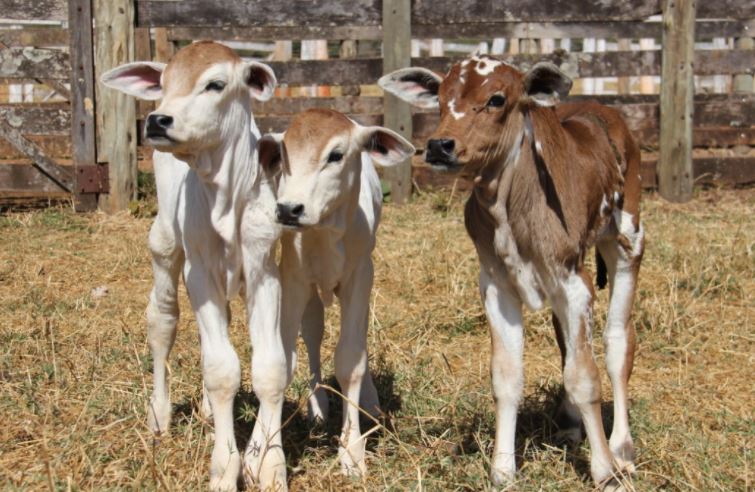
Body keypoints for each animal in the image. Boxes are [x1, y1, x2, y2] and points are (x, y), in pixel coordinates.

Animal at [102, 41, 288, 488]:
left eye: (215, 84)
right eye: (164, 83)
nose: (157, 119)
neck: (226, 195)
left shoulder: (264, 272)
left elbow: (269, 368)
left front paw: (271, 465)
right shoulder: (199, 272)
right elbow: (221, 371)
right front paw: (225, 468)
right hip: (166, 247)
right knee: (162, 321)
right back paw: (159, 414)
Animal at [258, 108, 416, 480]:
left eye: (336, 155)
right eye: (284, 153)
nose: (289, 209)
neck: (325, 232)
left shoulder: (360, 276)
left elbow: (350, 360)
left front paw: (352, 450)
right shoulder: (294, 279)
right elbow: (286, 359)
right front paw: (266, 457)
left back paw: (368, 399)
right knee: (313, 334)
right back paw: (317, 405)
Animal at [380, 54, 648, 488]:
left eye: (496, 99)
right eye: (440, 98)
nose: (439, 145)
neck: (512, 207)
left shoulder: (574, 282)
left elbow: (585, 376)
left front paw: (604, 470)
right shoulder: (496, 286)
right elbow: (507, 377)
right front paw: (503, 469)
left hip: (628, 241)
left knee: (618, 343)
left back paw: (622, 447)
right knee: (566, 344)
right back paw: (570, 424)